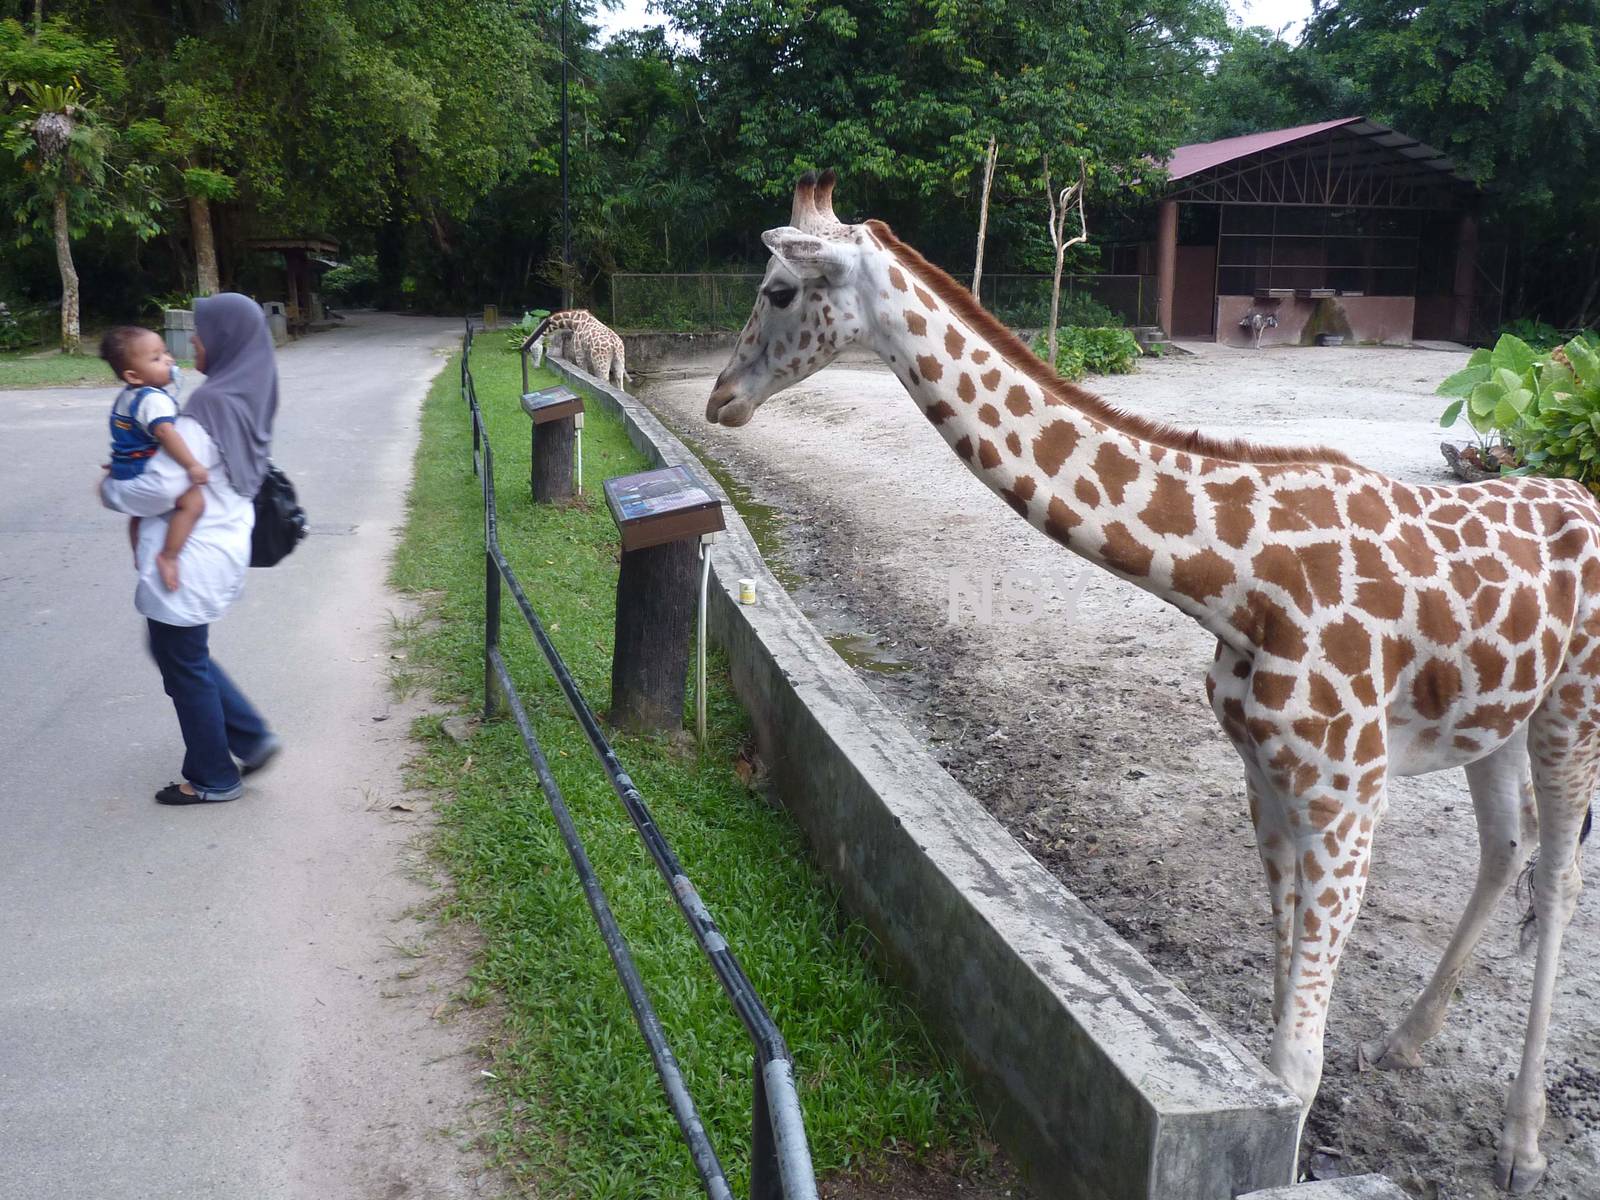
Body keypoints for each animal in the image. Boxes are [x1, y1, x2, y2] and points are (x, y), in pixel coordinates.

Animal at [706, 171, 1600, 1193]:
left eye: (778, 290)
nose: (720, 398)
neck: (1238, 584)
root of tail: (1582, 492)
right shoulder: (1266, 783)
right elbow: (1281, 1028)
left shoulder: (1347, 799)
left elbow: (1298, 1053)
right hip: (1492, 718)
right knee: (1505, 847)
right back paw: (1405, 1043)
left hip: (1573, 709)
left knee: (1560, 875)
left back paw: (1522, 1142)